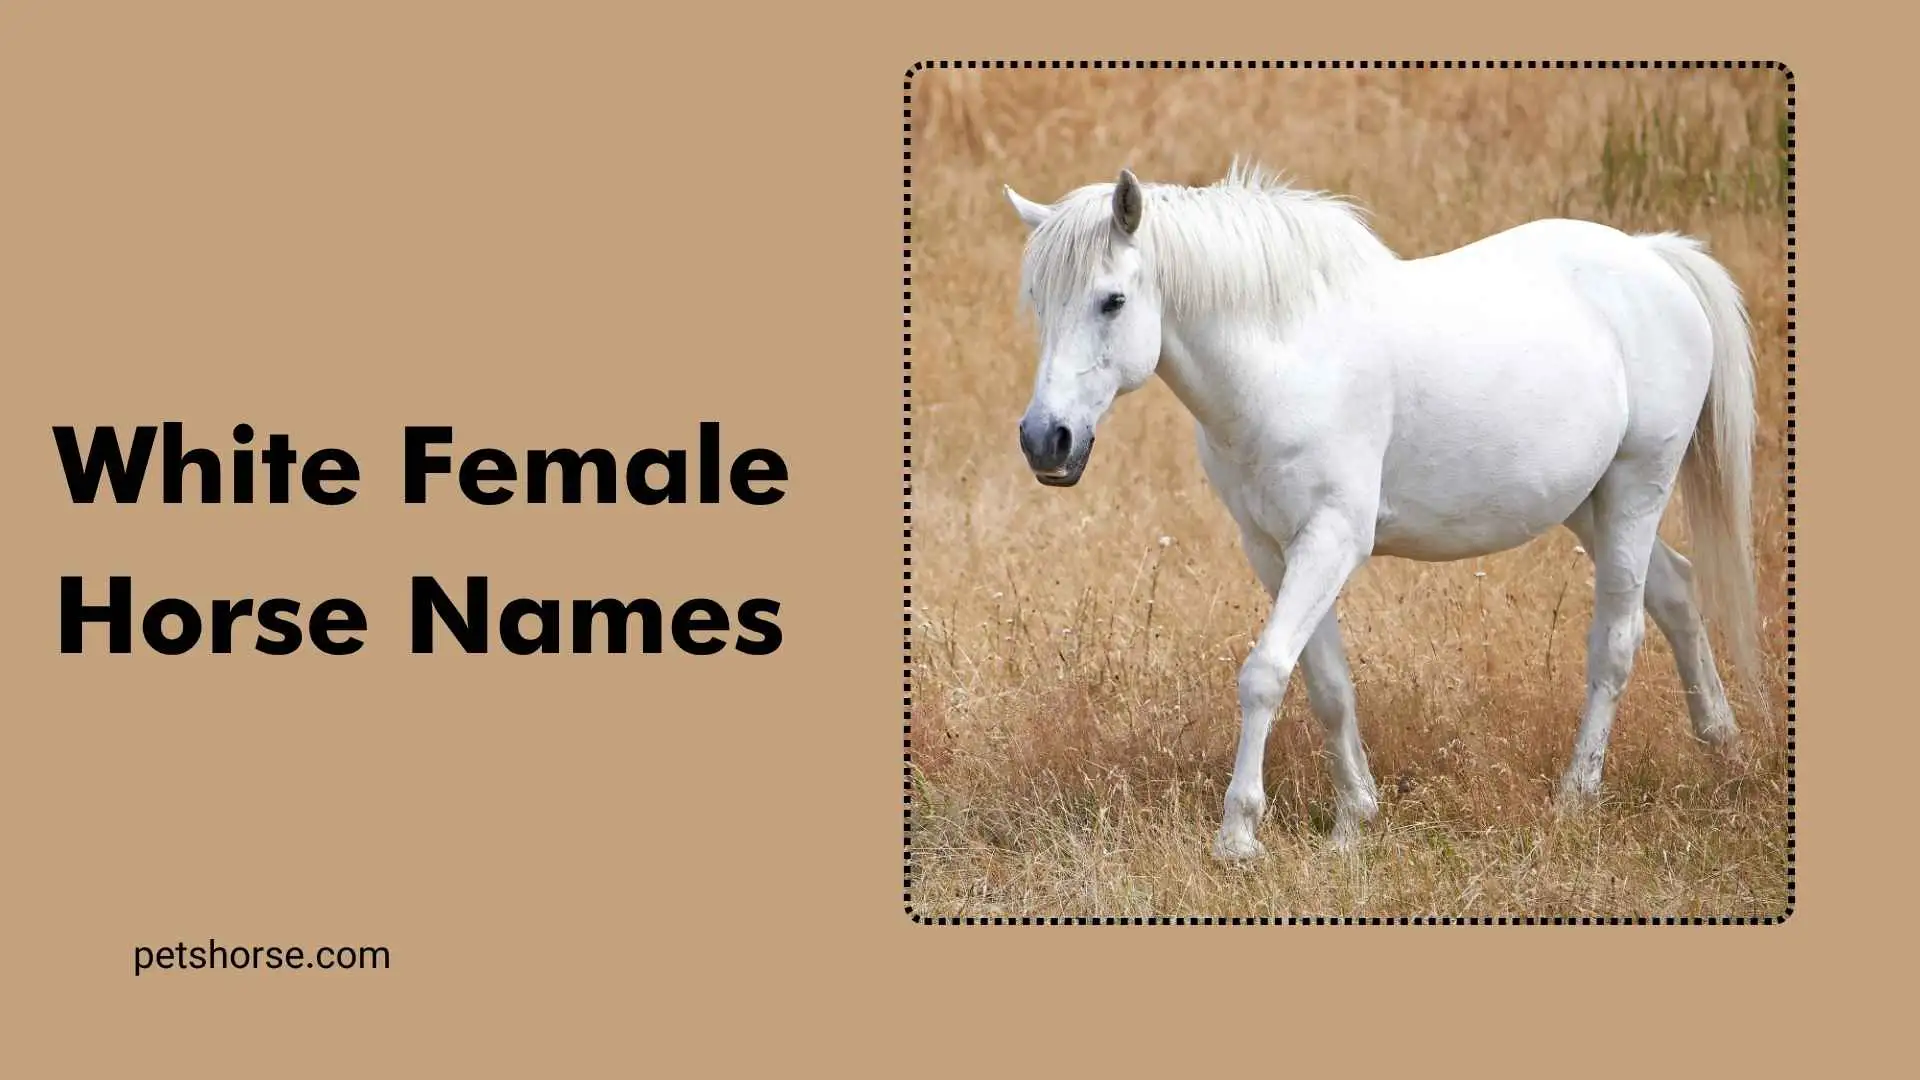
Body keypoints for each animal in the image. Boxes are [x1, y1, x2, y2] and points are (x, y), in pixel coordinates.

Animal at [1000, 162, 1763, 860]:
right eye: (1038, 299)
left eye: (1112, 301)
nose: (1045, 440)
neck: (1286, 362)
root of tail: (1654, 258)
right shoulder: (1272, 548)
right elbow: (1326, 683)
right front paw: (1352, 820)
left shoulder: (1332, 539)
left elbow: (1265, 673)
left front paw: (1238, 835)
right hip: (1590, 503)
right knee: (1676, 591)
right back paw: (1722, 748)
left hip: (1638, 487)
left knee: (1617, 640)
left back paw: (1577, 794)